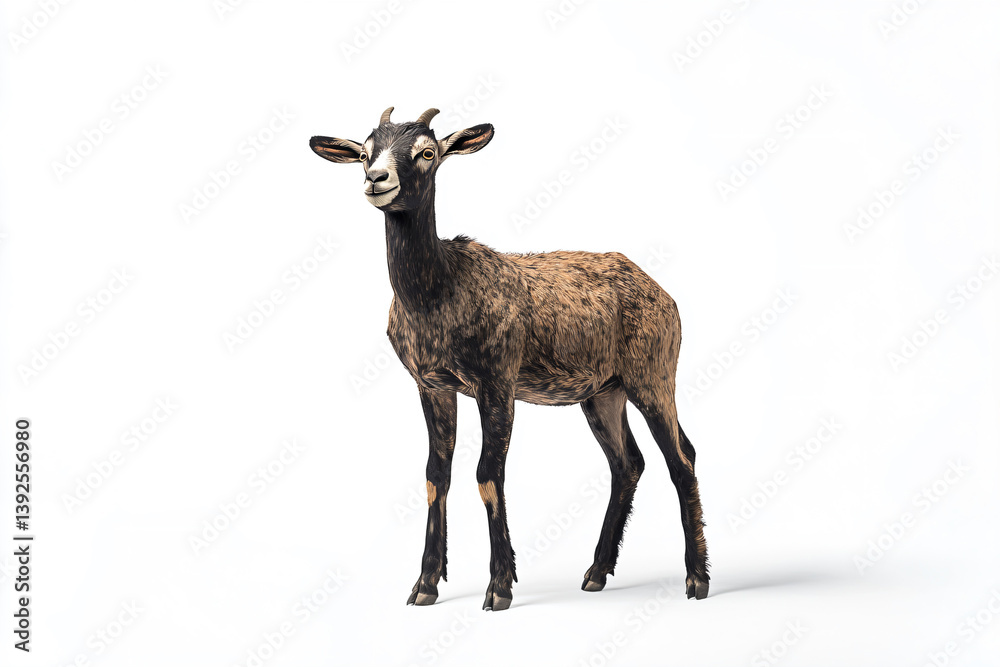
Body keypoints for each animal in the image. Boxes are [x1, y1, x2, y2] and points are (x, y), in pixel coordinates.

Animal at [310, 107, 709, 611]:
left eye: (427, 152)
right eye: (364, 152)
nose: (377, 179)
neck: (440, 289)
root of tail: (664, 294)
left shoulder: (497, 380)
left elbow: (488, 472)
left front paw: (499, 586)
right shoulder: (432, 384)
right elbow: (435, 474)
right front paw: (424, 584)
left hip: (652, 374)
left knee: (682, 456)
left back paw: (696, 580)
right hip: (602, 392)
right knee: (628, 463)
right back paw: (596, 573)